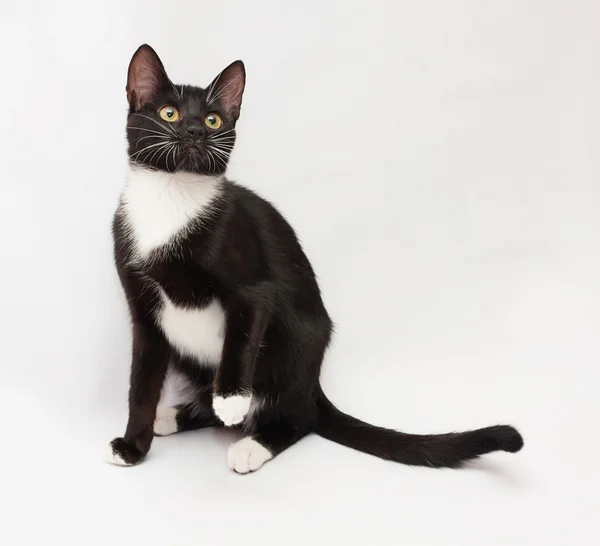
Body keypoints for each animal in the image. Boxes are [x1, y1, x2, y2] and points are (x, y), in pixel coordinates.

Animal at [105, 44, 524, 472]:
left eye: (213, 119)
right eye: (168, 113)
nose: (195, 131)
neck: (171, 199)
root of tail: (313, 384)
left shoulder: (252, 282)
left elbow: (243, 332)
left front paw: (233, 400)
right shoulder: (142, 309)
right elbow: (141, 384)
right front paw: (132, 446)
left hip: (294, 342)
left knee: (300, 416)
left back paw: (251, 443)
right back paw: (172, 415)